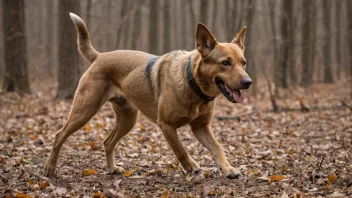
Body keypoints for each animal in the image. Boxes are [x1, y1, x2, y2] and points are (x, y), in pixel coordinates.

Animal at [44, 12, 252, 179]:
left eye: (243, 62)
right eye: (225, 63)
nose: (248, 82)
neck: (193, 84)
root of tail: (100, 56)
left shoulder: (201, 127)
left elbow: (218, 148)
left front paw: (228, 168)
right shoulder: (166, 125)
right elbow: (180, 149)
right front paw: (191, 166)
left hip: (128, 118)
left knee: (107, 142)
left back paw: (112, 168)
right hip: (85, 109)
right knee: (59, 136)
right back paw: (50, 169)